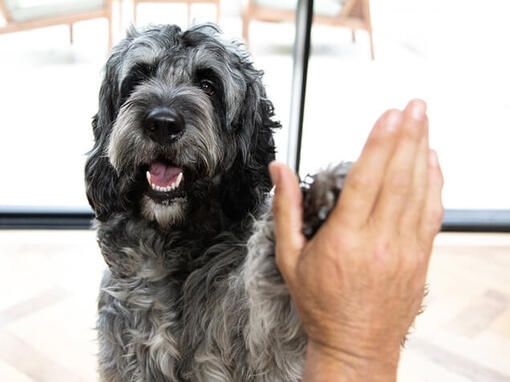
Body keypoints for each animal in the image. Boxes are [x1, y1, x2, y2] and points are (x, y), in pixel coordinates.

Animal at [86, 24, 350, 382]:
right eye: (139, 76)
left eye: (208, 85)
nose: (162, 123)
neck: (176, 243)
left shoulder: (257, 351)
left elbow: (272, 327)